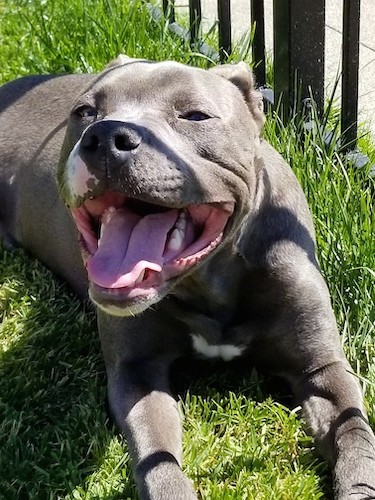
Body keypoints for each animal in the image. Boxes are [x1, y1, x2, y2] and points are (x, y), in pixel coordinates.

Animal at [0, 56, 375, 498]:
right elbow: (156, 454)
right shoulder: (136, 370)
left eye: (195, 115)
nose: (106, 136)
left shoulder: (321, 367)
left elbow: (353, 430)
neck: (209, 280)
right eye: (85, 112)